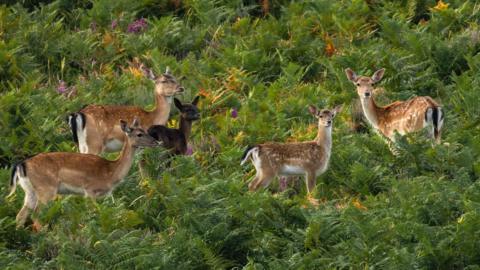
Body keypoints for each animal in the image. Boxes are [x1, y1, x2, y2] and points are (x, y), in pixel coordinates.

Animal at [6, 119, 159, 229]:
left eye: (145, 130)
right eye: (139, 134)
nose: (156, 141)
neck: (110, 172)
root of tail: (21, 165)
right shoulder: (90, 190)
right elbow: (94, 213)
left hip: (29, 191)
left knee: (21, 215)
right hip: (46, 189)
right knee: (36, 215)